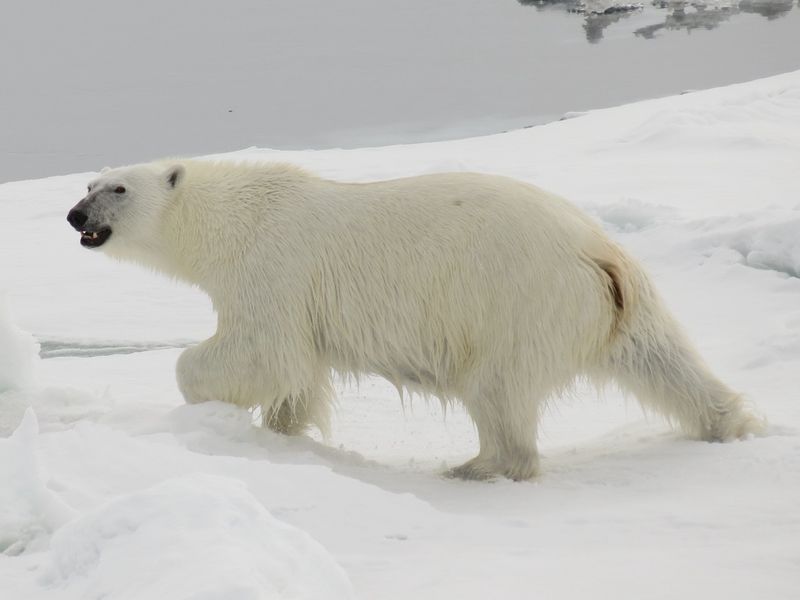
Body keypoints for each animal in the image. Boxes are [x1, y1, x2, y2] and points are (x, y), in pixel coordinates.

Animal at [66, 159, 764, 480]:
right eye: (90, 182)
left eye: (118, 188)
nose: (75, 215)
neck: (234, 216)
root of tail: (597, 252)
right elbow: (298, 375)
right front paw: (284, 431)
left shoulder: (272, 269)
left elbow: (264, 352)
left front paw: (206, 398)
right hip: (621, 302)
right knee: (661, 359)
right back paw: (728, 421)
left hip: (517, 300)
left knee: (496, 389)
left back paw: (476, 466)